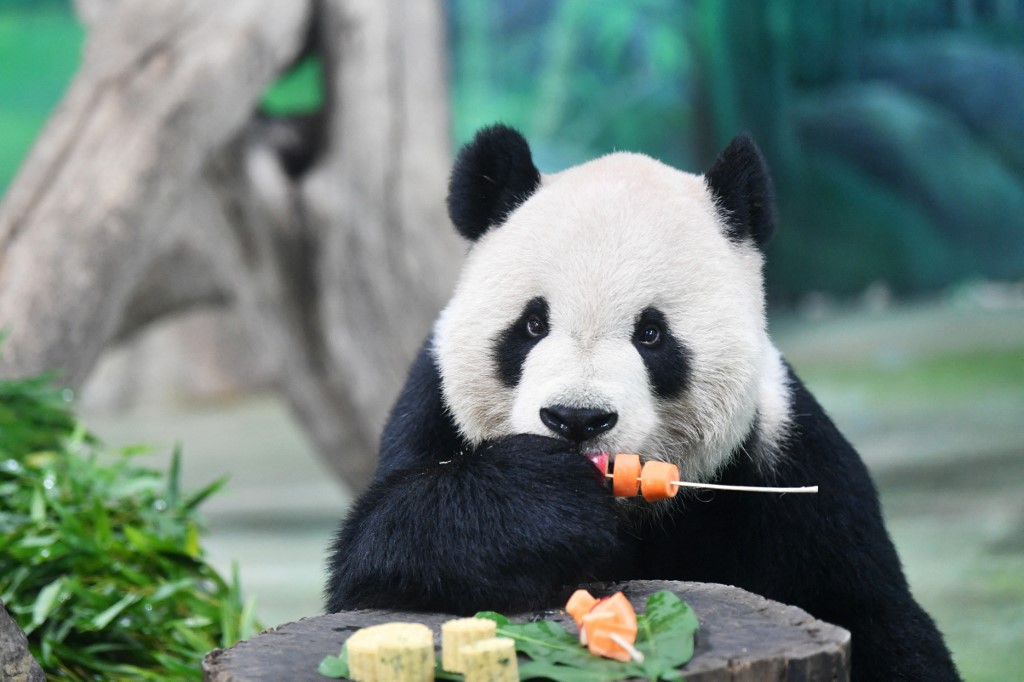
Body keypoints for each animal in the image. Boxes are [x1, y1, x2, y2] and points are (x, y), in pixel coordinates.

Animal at [325, 124, 958, 675]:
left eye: (651, 334)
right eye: (532, 324)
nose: (577, 419)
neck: (629, 513)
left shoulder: (789, 457)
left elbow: (878, 619)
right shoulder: (430, 411)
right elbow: (375, 553)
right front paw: (543, 502)